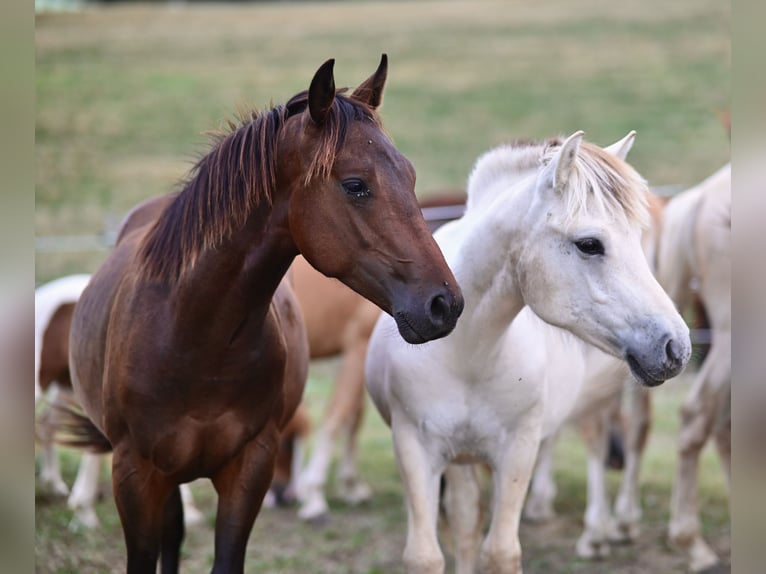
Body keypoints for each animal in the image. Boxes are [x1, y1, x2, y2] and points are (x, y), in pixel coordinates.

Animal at [54, 55, 464, 573]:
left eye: (409, 176)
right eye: (355, 185)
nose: (445, 304)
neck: (190, 335)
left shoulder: (250, 468)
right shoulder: (135, 475)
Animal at [365, 131, 691, 574]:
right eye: (590, 244)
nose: (676, 346)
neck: (468, 353)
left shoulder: (518, 451)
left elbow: (501, 551)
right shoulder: (416, 448)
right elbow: (431, 552)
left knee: (605, 442)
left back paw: (605, 530)